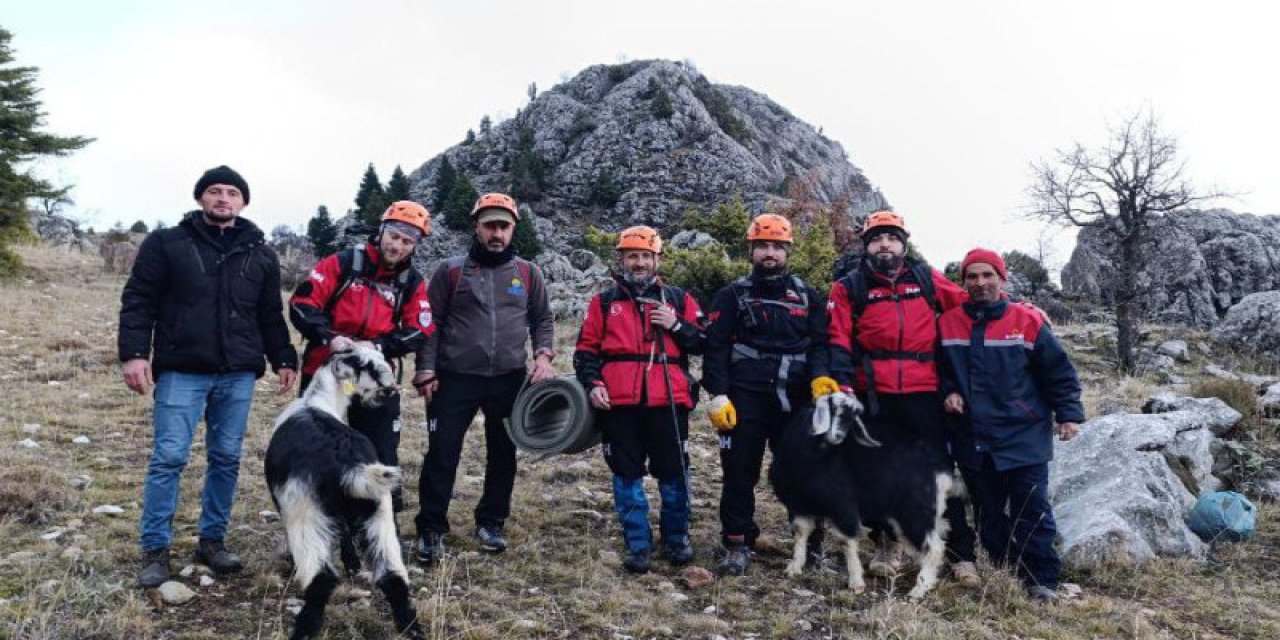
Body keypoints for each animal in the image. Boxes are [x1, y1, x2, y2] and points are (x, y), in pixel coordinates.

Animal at [264, 345, 424, 640]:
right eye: (368, 365)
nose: (389, 391)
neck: (318, 401)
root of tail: (352, 466)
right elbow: (347, 534)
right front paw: (352, 564)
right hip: (380, 516)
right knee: (394, 577)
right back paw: (413, 629)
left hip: (307, 516)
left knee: (321, 581)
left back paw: (303, 631)